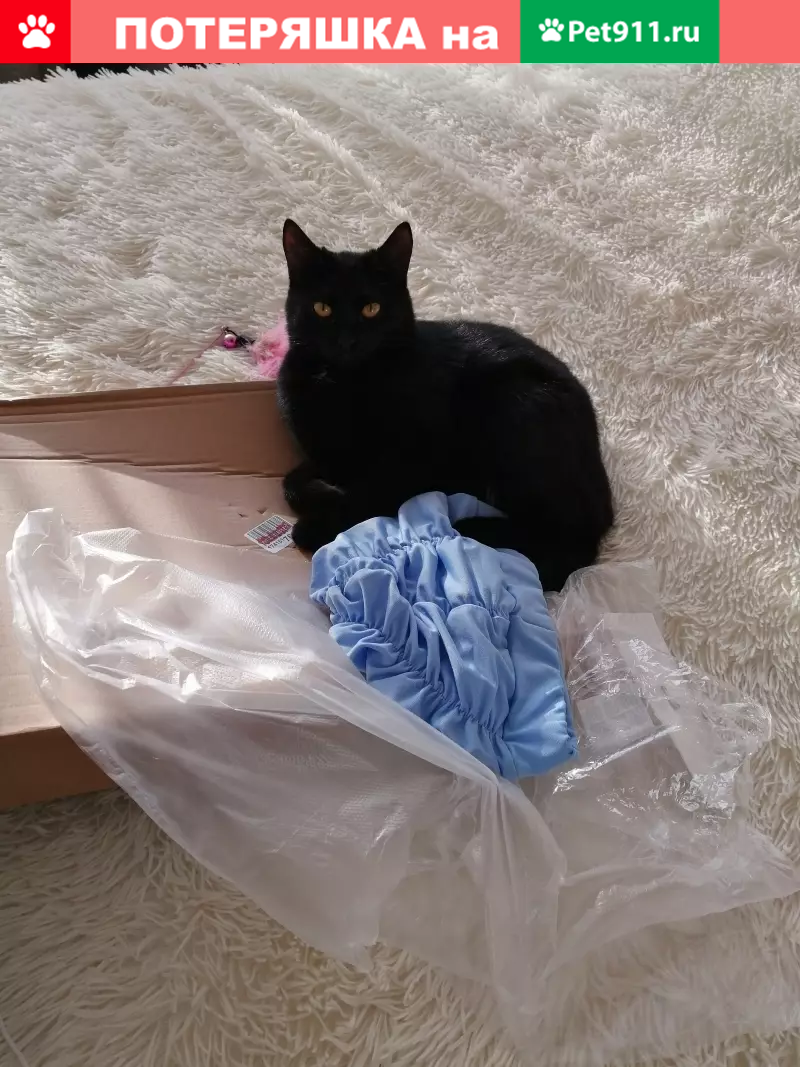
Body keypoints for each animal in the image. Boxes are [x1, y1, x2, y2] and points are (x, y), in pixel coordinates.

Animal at [277, 219, 614, 591]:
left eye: (371, 308)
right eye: (322, 308)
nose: (347, 341)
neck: (343, 385)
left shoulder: (417, 463)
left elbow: (369, 494)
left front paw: (316, 524)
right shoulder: (325, 456)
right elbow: (291, 483)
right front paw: (324, 491)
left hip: (514, 406)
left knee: (571, 544)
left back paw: (473, 528)